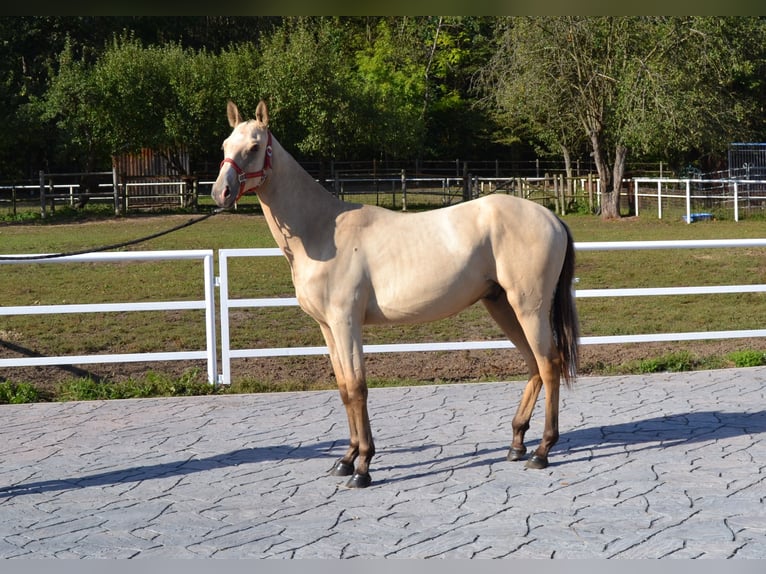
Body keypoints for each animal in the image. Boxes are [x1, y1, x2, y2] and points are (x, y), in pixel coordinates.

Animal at [212, 100, 584, 490]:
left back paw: (542, 451)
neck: (322, 231)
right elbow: (344, 388)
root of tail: (552, 217)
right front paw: (346, 460)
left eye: (254, 146)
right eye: (225, 145)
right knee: (534, 366)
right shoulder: (328, 328)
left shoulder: (346, 323)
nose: (220, 192)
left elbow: (358, 388)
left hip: (529, 308)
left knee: (550, 364)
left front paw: (363, 467)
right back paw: (516, 444)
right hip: (501, 305)